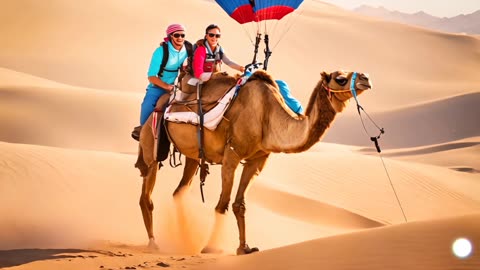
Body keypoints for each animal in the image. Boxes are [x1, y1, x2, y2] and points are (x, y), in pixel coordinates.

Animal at [135, 69, 372, 255]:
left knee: (179, 192)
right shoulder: (232, 154)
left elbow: (239, 205)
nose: (366, 78)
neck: (267, 114)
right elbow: (222, 204)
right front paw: (211, 248)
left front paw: (244, 248)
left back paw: (182, 238)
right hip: (152, 143)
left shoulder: (257, 160)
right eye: (340, 78)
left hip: (192, 156)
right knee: (146, 195)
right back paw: (154, 243)